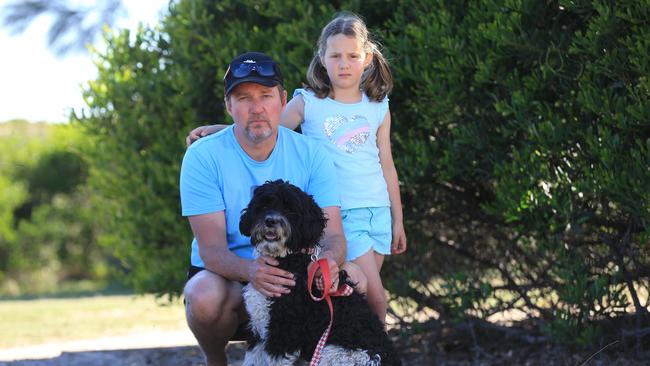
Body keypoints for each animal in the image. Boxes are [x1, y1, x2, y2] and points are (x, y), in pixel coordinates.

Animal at [239, 181, 400, 366]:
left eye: (289, 209)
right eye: (264, 205)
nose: (270, 220)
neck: (288, 259)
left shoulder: (283, 331)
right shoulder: (258, 329)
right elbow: (251, 358)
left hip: (333, 352)